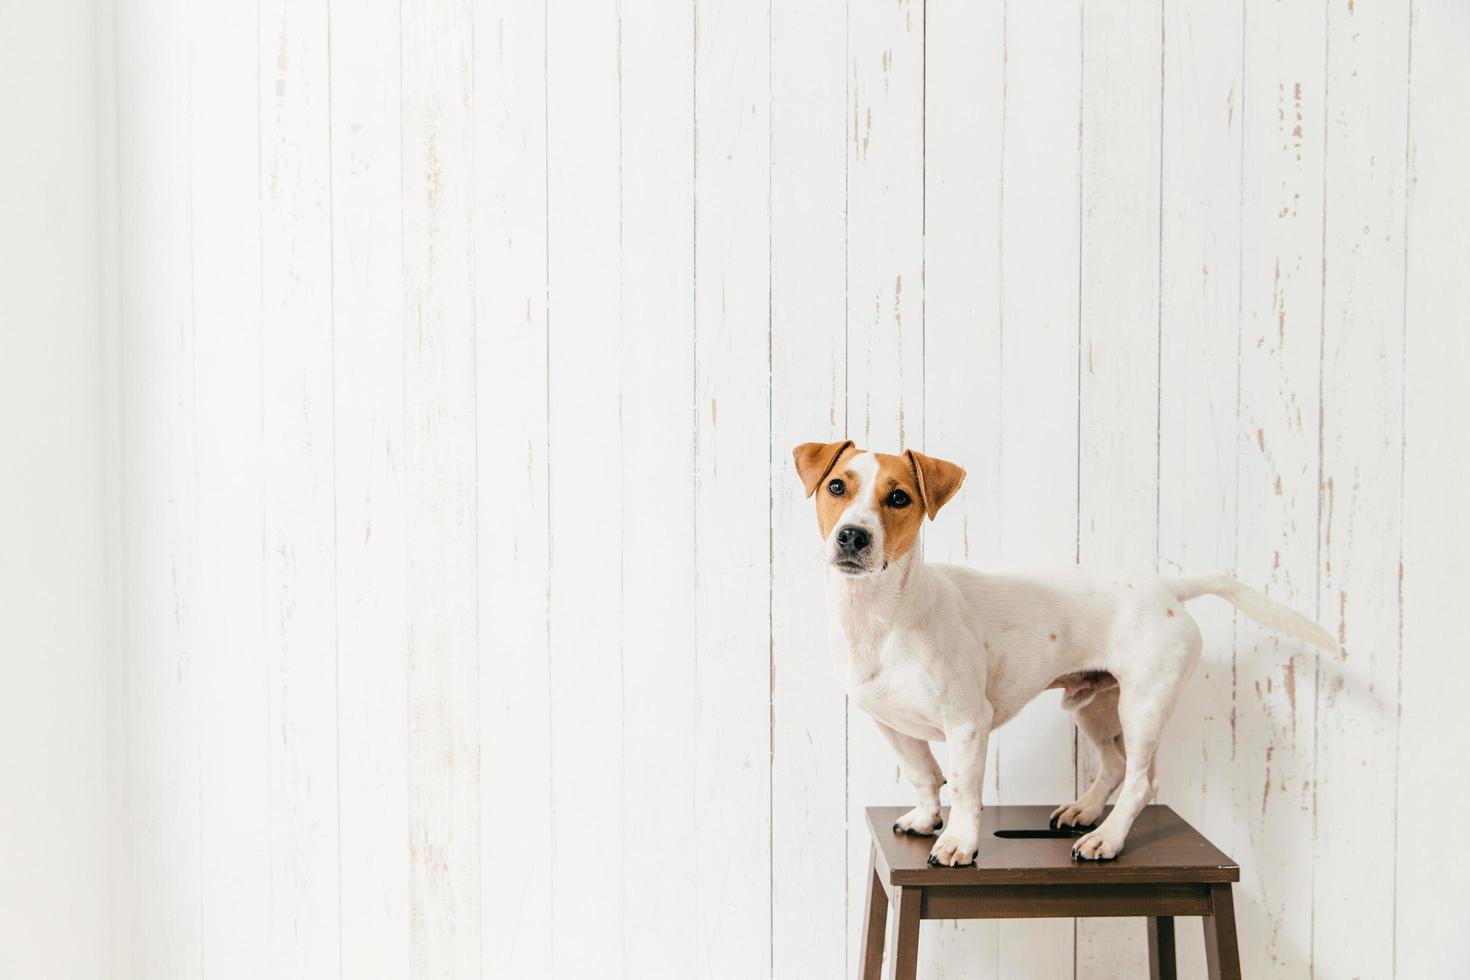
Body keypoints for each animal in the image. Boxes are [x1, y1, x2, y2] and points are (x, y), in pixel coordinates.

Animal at [799, 437, 1340, 863]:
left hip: (1142, 707)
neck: (882, 617)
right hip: (1093, 705)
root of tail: (1167, 587)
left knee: (1141, 781)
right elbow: (924, 774)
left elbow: (965, 789)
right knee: (1115, 765)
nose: (852, 535)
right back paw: (1084, 810)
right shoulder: (890, 724)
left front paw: (958, 842)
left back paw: (1107, 838)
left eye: (899, 497)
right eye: (836, 487)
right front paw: (927, 818)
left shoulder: (968, 724)